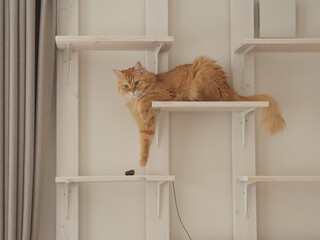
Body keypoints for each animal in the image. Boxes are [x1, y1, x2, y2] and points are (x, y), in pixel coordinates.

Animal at [113, 55, 284, 167]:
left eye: (136, 83)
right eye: (126, 86)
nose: (132, 91)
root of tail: (230, 89)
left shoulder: (163, 93)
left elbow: (144, 99)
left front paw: (143, 109)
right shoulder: (145, 126)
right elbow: (144, 142)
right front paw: (143, 162)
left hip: (202, 71)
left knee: (208, 99)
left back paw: (184, 100)